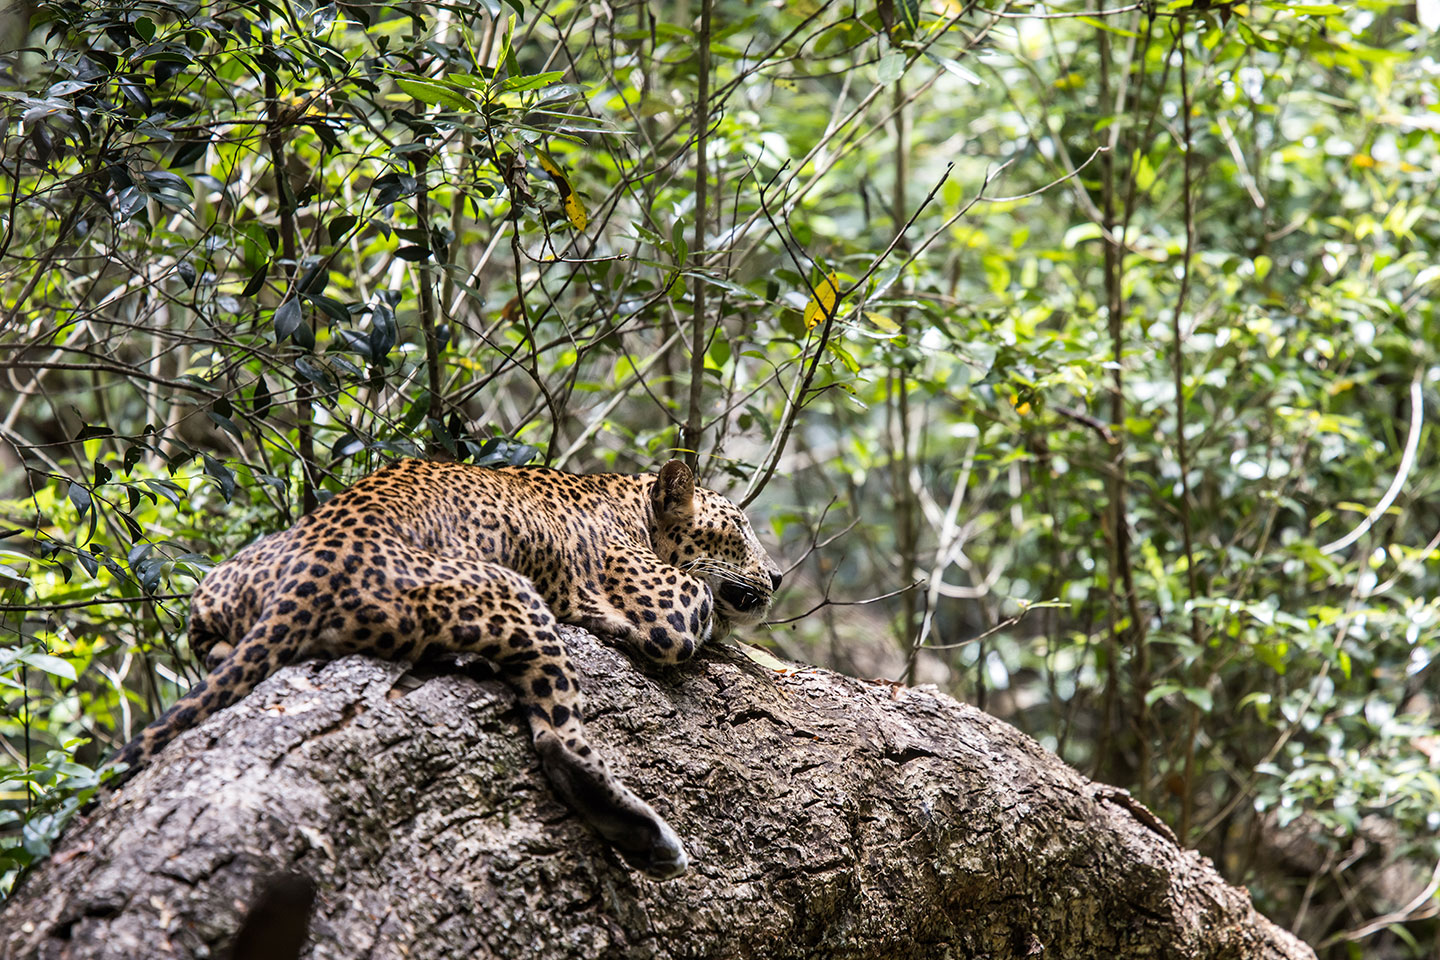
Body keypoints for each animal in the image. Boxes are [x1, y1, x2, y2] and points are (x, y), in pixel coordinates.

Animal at [110, 458, 781, 880]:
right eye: (739, 527)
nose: (777, 576)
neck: (628, 499)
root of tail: (319, 560)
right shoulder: (669, 606)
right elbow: (710, 604)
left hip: (218, 589)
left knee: (210, 644)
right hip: (512, 593)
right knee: (559, 740)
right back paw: (649, 839)